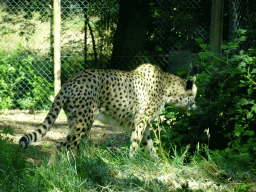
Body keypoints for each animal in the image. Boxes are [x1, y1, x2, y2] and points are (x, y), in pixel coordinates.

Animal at [19, 63, 197, 157]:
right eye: (194, 95)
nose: (195, 105)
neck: (168, 87)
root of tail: (71, 80)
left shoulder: (144, 125)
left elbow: (149, 145)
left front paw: (157, 161)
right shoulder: (140, 122)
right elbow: (135, 144)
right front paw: (132, 161)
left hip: (77, 123)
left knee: (75, 146)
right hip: (83, 123)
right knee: (60, 146)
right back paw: (54, 170)